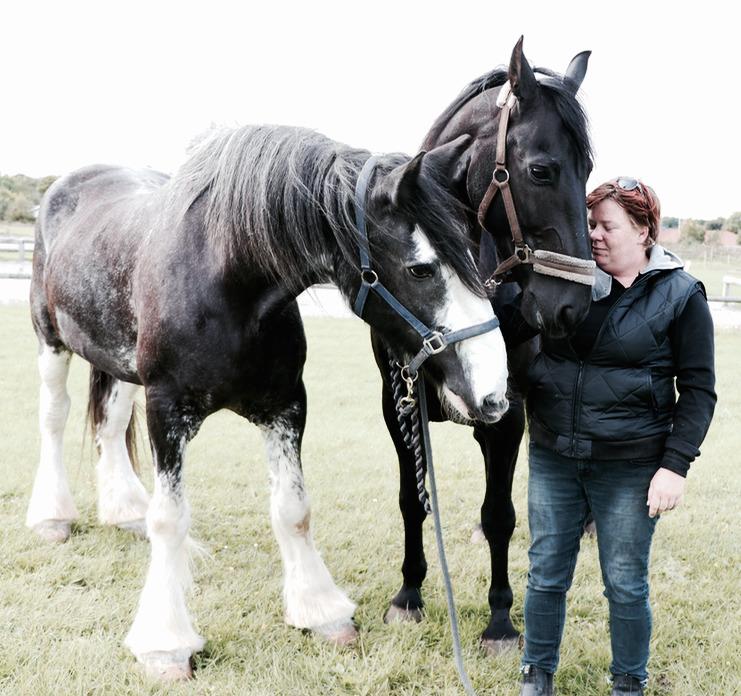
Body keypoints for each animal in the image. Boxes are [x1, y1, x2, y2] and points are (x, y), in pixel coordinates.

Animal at [24, 125, 508, 680]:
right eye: (421, 269)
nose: (495, 392)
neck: (225, 283)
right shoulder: (166, 411)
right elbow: (170, 520)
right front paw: (166, 645)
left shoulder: (284, 405)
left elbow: (293, 509)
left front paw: (320, 611)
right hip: (50, 341)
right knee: (53, 419)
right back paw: (53, 516)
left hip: (117, 362)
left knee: (109, 423)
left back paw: (124, 510)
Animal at [372, 40, 592, 656]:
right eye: (541, 170)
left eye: (589, 171)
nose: (573, 306)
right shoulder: (399, 404)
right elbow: (412, 500)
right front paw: (409, 594)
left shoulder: (507, 408)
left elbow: (501, 515)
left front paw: (500, 622)